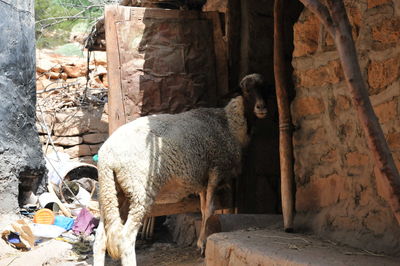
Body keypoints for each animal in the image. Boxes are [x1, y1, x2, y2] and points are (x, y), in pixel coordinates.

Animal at [93, 74, 268, 264]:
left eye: (265, 88)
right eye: (246, 91)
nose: (262, 108)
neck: (229, 124)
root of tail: (108, 156)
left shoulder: (202, 180)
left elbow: (202, 208)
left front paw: (200, 241)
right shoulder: (216, 170)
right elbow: (210, 209)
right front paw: (202, 245)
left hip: (112, 192)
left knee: (100, 239)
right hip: (139, 190)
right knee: (125, 239)